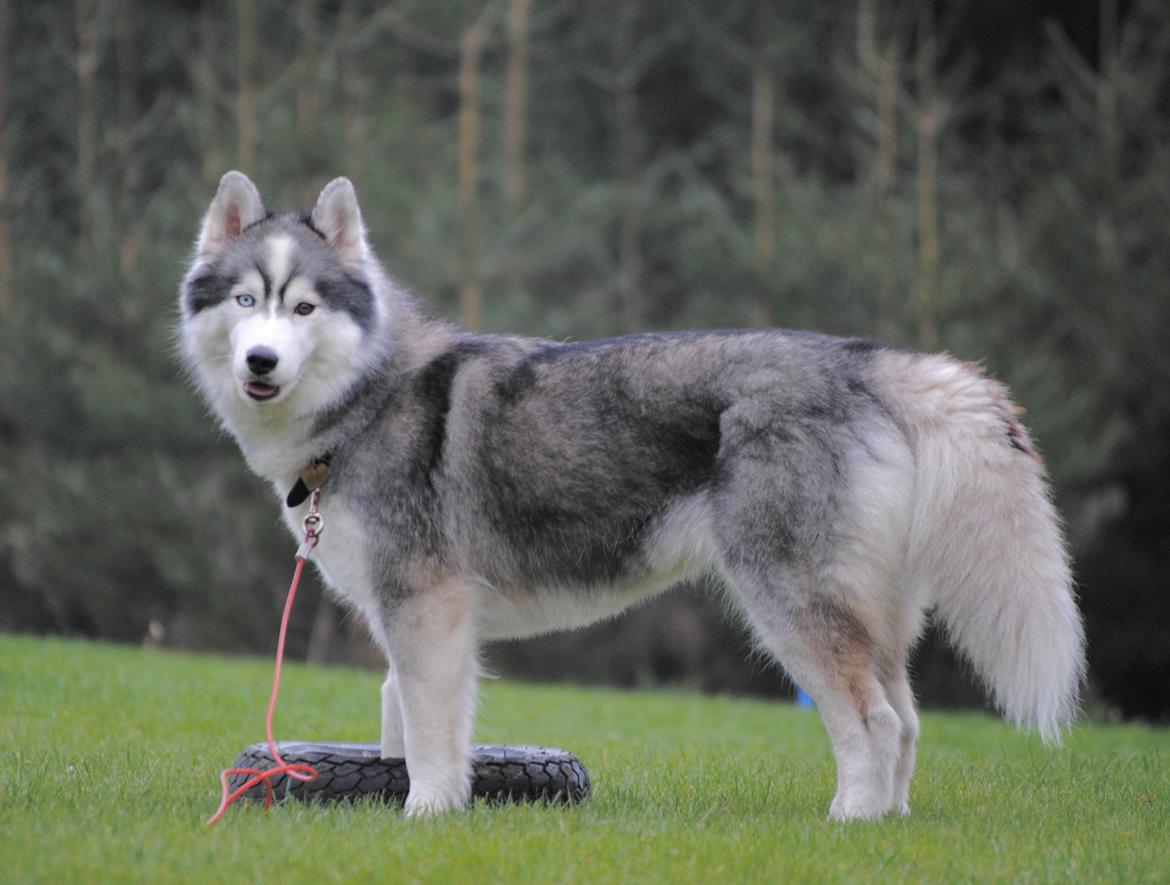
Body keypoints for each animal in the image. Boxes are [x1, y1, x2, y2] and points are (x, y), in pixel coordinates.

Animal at [177, 173, 1081, 824]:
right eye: (246, 301)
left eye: (304, 306)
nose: (260, 361)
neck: (362, 398)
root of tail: (869, 362)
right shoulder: (413, 614)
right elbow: (400, 710)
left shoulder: (423, 604)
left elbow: (430, 730)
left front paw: (425, 813)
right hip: (869, 609)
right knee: (907, 716)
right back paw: (890, 820)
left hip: (791, 599)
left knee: (874, 719)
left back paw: (851, 822)